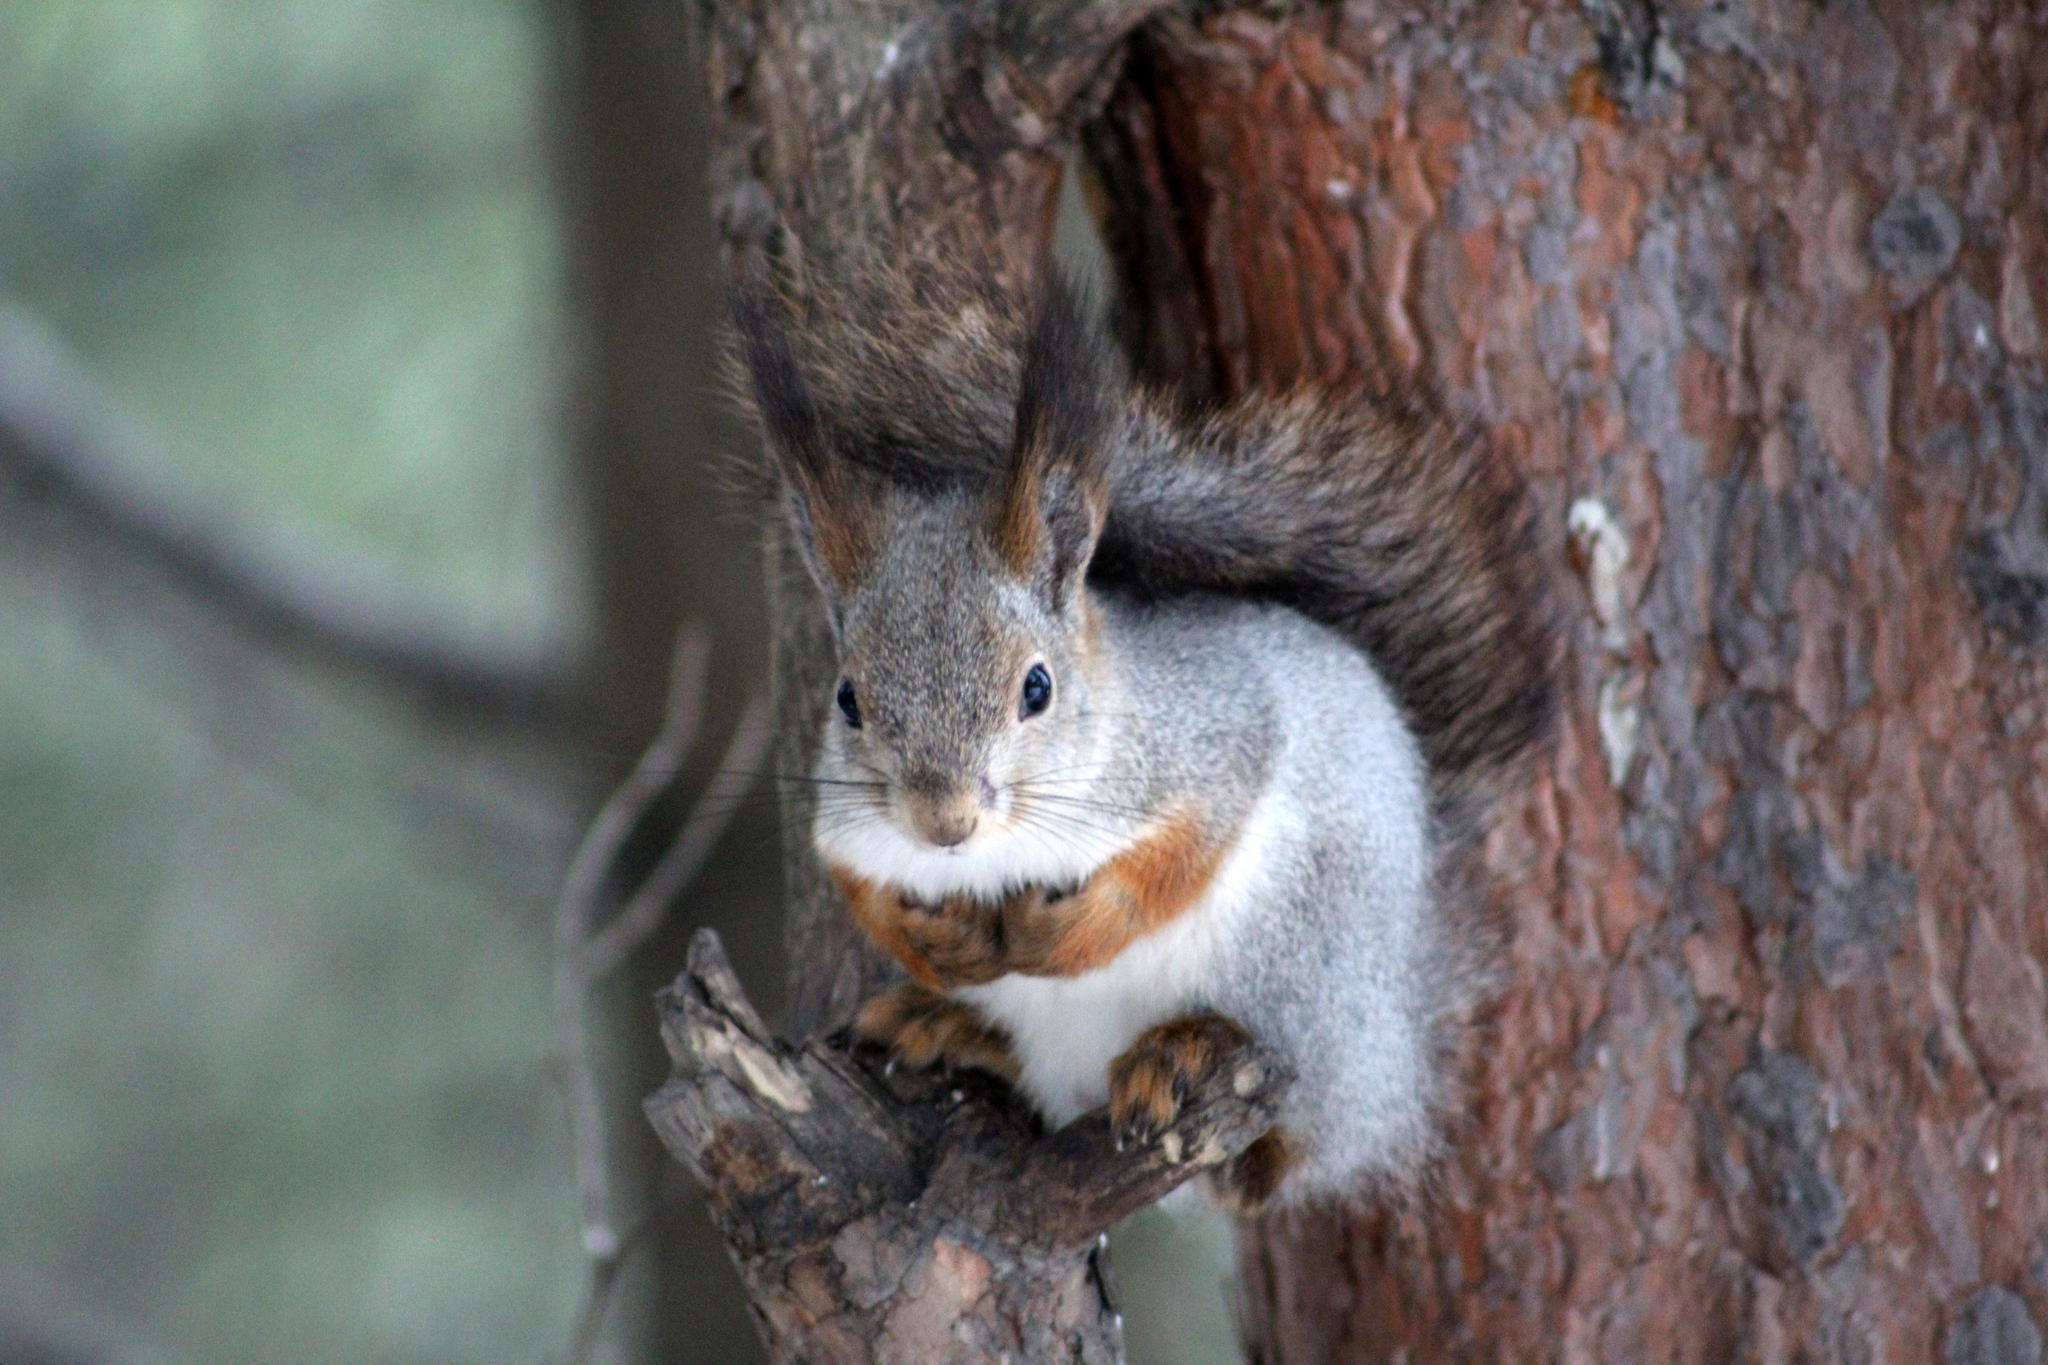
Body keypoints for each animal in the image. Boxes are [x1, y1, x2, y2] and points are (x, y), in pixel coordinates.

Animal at [737, 258, 1548, 1203]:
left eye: (1038, 687)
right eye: (848, 699)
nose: (944, 824)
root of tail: (1402, 1035)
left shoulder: (1216, 739)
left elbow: (1179, 854)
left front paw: (1071, 931)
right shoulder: (849, 829)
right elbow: (860, 883)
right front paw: (932, 947)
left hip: (1307, 971)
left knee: (1277, 1154)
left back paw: (1184, 1051)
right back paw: (944, 1023)